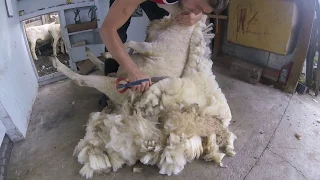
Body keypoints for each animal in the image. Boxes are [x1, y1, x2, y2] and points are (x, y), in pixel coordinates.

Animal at [49, 2, 235, 179]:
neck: (177, 26)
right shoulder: (149, 45)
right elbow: (128, 48)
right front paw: (111, 54)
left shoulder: (151, 47)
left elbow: (130, 43)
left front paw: (115, 52)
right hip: (118, 76)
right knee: (106, 66)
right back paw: (94, 54)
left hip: (113, 84)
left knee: (82, 79)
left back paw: (59, 63)